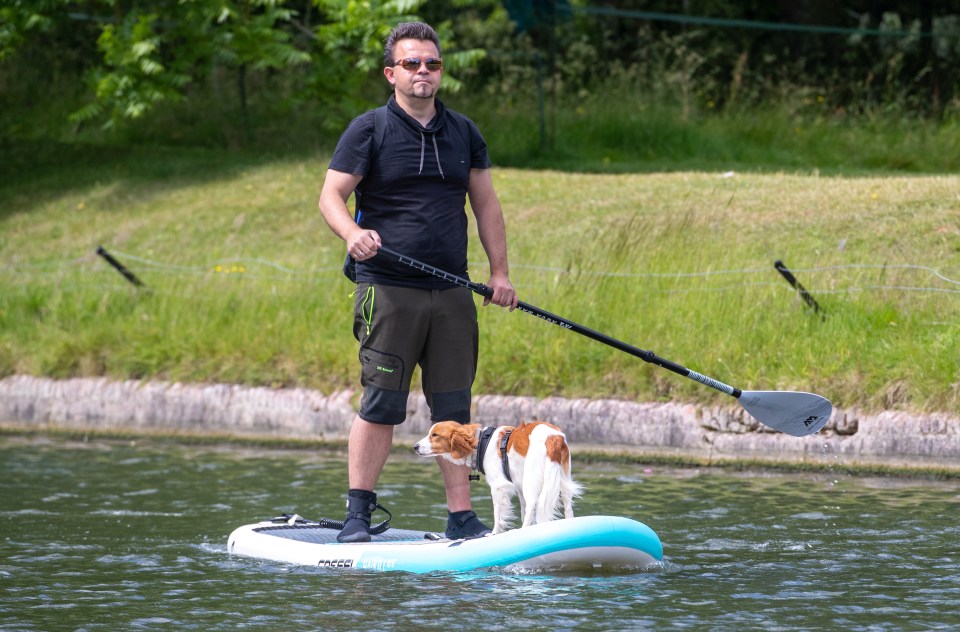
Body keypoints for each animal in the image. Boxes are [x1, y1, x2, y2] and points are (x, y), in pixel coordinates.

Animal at [410, 420, 580, 532]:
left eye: (435, 435)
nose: (415, 447)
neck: (479, 443)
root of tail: (554, 437)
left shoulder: (499, 486)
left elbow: (498, 515)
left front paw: (494, 534)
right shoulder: (518, 486)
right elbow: (523, 510)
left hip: (531, 479)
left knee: (533, 503)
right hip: (562, 481)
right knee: (568, 507)